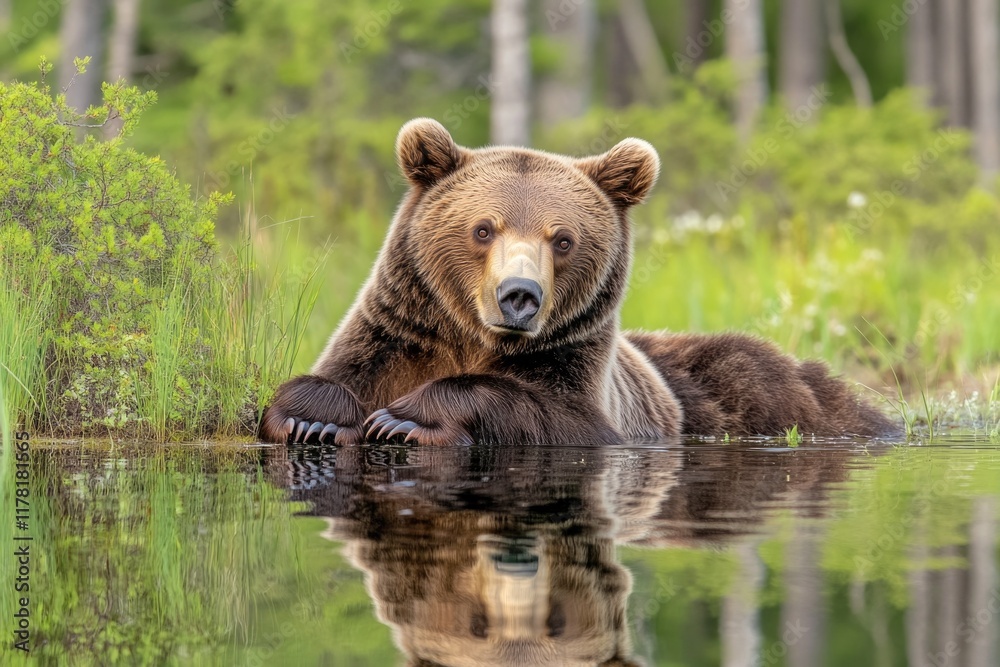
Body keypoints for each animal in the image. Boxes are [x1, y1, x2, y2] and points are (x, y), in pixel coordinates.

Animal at [258, 118, 896, 446]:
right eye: (483, 229)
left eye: (562, 239)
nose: (519, 296)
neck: (473, 339)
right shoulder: (398, 336)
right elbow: (335, 377)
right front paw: (315, 419)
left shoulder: (582, 377)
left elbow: (554, 415)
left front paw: (404, 419)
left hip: (742, 386)